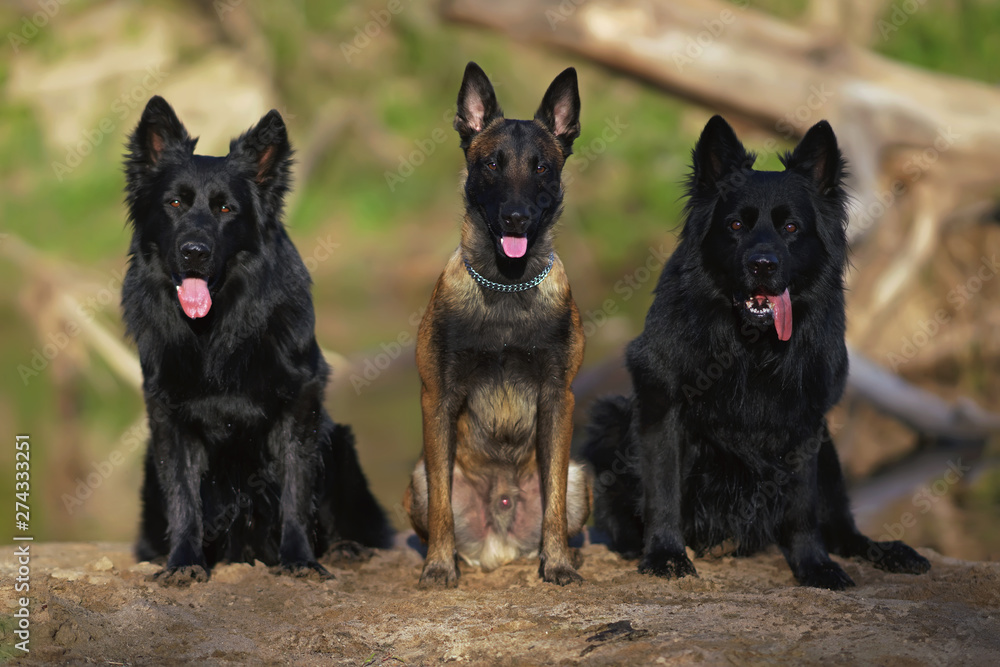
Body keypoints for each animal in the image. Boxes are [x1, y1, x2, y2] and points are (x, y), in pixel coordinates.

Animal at [123, 96, 392, 588]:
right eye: (174, 203)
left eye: (226, 210)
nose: (194, 252)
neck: (215, 331)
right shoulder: (169, 417)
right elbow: (184, 498)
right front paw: (184, 562)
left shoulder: (299, 405)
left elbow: (295, 492)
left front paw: (299, 559)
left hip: (340, 442)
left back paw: (346, 548)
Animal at [584, 116, 932, 588]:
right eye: (735, 226)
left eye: (791, 228)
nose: (763, 265)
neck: (751, 344)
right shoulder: (663, 405)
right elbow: (663, 489)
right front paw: (665, 554)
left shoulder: (806, 423)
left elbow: (802, 507)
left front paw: (814, 565)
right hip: (609, 417)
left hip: (829, 449)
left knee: (843, 529)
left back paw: (886, 550)